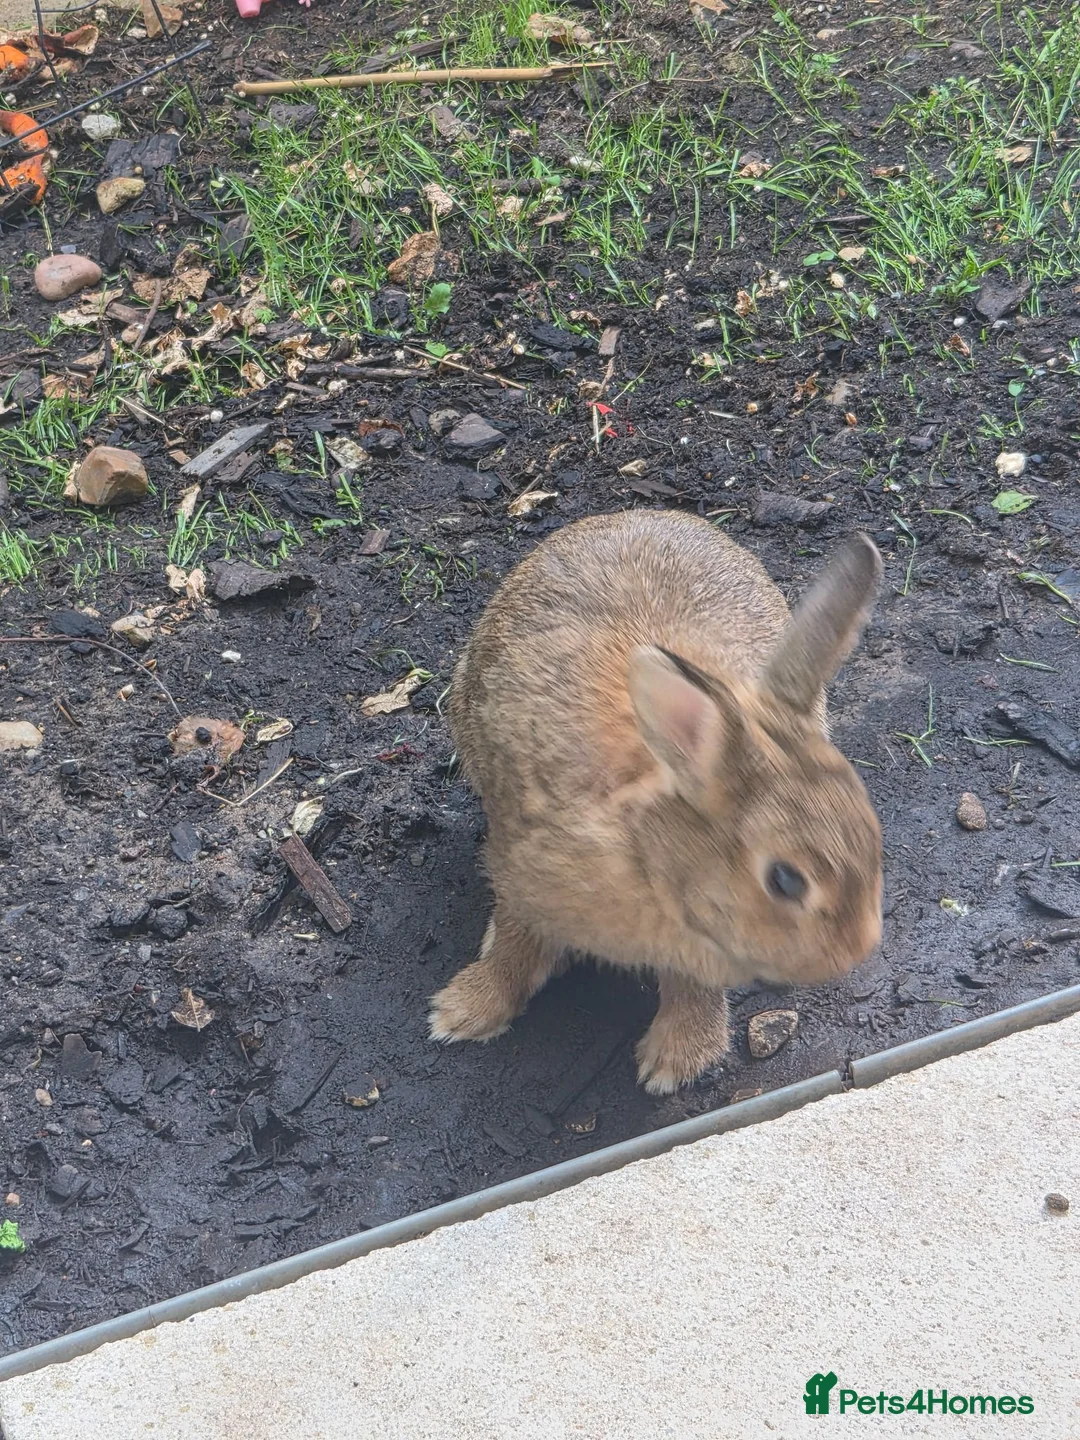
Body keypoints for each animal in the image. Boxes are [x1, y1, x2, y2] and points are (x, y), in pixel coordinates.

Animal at [429, 509, 883, 1094]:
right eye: (786, 880)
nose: (856, 951)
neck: (649, 854)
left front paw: (674, 1062)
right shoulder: (521, 871)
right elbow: (514, 943)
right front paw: (461, 1013)